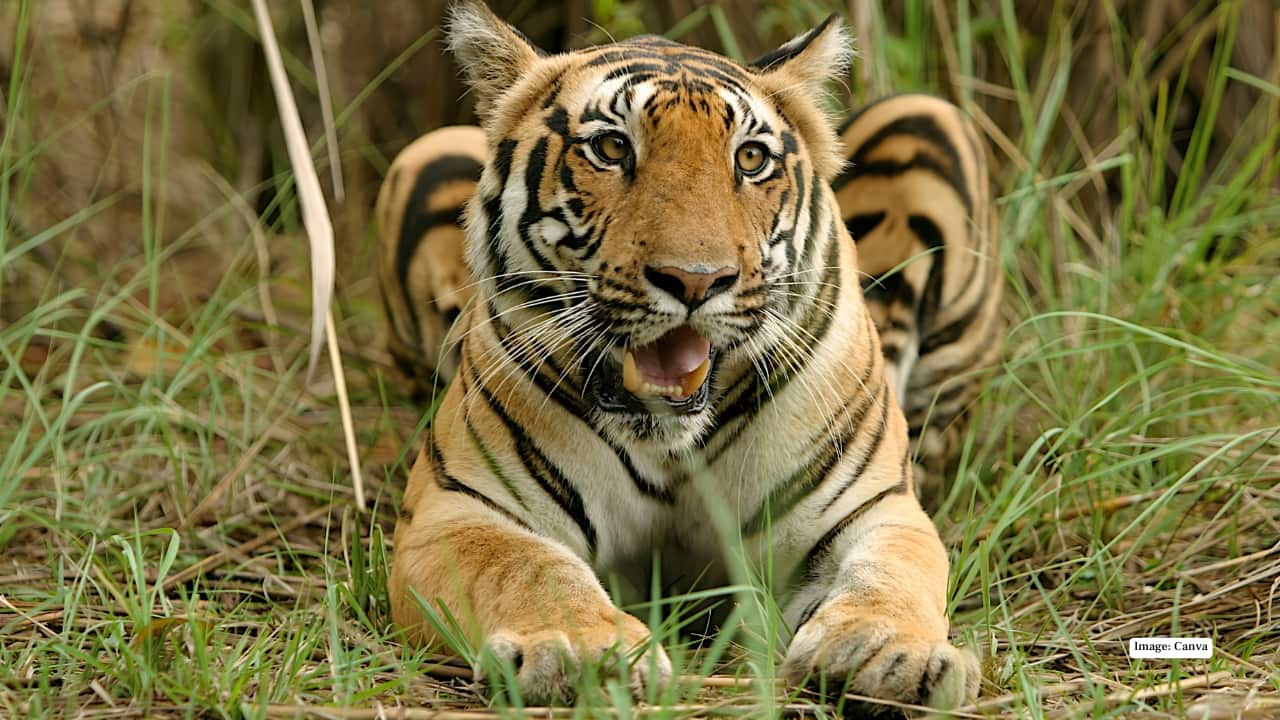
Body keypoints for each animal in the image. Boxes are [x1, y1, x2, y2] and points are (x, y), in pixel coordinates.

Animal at [388, 0, 990, 710]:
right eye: (612, 148)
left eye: (751, 159)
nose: (696, 281)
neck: (670, 446)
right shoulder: (456, 509)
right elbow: (529, 567)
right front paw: (580, 650)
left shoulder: (874, 509)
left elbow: (891, 573)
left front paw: (887, 652)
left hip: (927, 112)